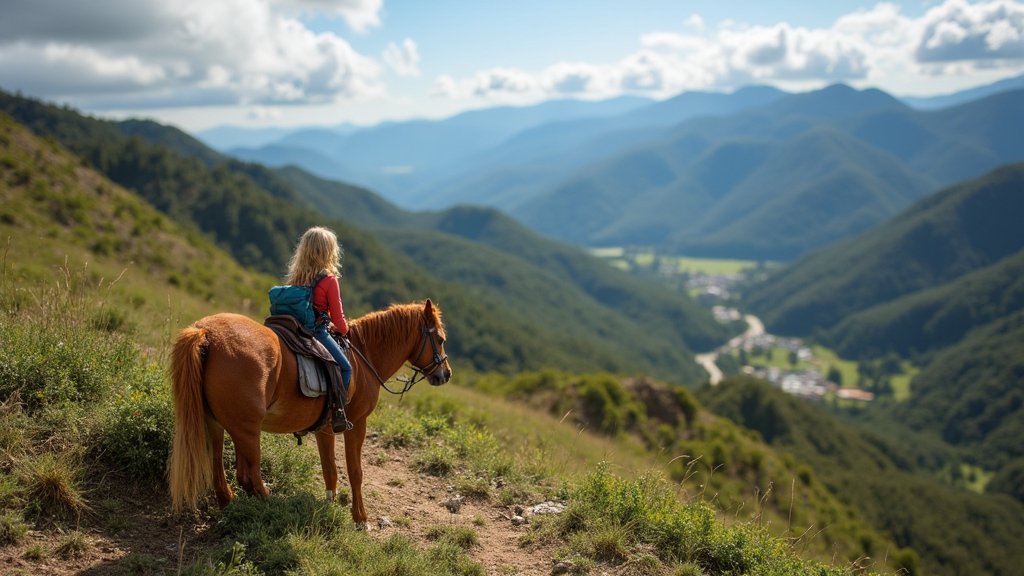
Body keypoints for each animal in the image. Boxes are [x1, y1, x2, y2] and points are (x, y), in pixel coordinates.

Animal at [166, 297, 448, 522]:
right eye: (440, 339)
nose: (446, 374)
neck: (365, 355)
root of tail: (206, 332)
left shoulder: (326, 428)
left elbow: (329, 469)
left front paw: (330, 504)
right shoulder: (357, 424)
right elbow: (355, 472)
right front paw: (360, 519)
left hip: (214, 424)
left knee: (218, 468)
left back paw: (230, 503)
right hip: (247, 430)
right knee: (249, 475)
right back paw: (269, 504)